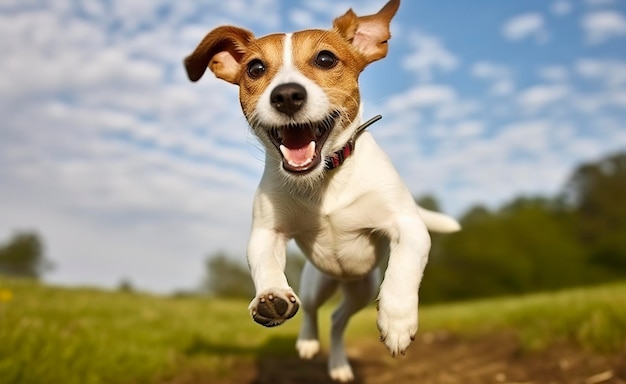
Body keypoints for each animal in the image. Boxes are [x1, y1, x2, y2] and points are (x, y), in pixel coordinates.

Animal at [183, 0, 456, 380]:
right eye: (255, 68)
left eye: (326, 59)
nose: (286, 95)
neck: (324, 177)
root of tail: (340, 279)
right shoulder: (267, 233)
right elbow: (266, 265)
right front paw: (271, 295)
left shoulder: (407, 223)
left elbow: (405, 265)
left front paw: (397, 319)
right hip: (316, 283)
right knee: (315, 311)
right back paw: (309, 342)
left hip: (361, 289)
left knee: (338, 319)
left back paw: (340, 362)